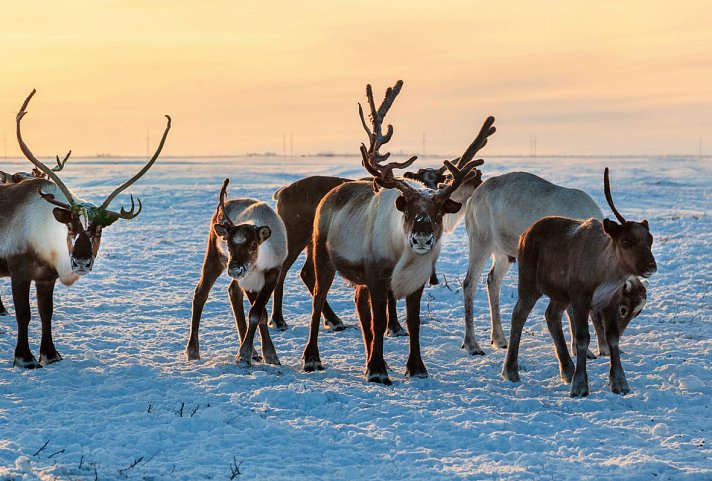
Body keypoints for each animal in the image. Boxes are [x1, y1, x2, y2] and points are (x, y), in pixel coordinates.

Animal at [186, 179, 286, 364]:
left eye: (253, 245)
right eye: (229, 245)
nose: (234, 270)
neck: (260, 262)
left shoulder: (272, 274)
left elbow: (258, 312)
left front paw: (267, 354)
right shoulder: (248, 279)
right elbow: (258, 313)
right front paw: (244, 354)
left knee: (233, 291)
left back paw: (254, 351)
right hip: (214, 257)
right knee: (201, 293)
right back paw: (193, 350)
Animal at [500, 167, 656, 396]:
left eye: (650, 240)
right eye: (626, 241)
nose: (651, 266)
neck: (605, 275)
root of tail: (524, 234)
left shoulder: (609, 300)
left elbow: (612, 337)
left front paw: (619, 383)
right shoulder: (580, 299)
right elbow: (583, 338)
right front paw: (580, 385)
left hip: (559, 295)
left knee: (551, 316)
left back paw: (567, 370)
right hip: (529, 284)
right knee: (518, 316)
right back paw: (511, 371)